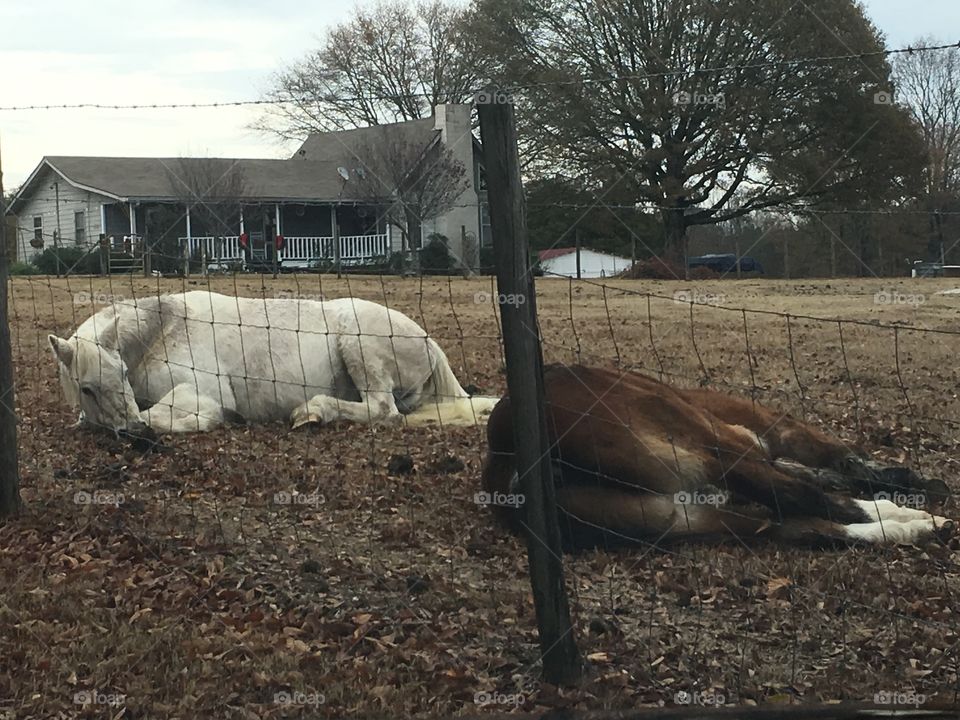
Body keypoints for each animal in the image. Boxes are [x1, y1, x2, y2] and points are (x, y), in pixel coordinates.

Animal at [48, 290, 498, 434]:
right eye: (87, 388)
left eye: (122, 372)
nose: (134, 433)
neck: (163, 331)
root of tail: (430, 343)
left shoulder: (201, 395)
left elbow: (169, 415)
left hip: (359, 344)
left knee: (382, 409)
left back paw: (312, 412)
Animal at [481, 364, 955, 548]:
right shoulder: (762, 438)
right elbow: (831, 471)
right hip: (711, 452)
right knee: (816, 503)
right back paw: (919, 519)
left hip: (678, 518)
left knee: (811, 525)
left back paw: (914, 526)